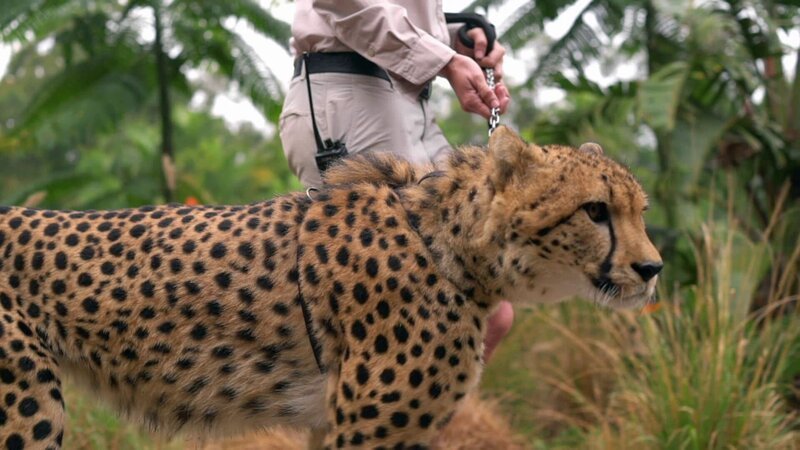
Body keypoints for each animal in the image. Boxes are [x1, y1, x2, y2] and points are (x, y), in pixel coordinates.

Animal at [0, 126, 662, 450]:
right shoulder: (367, 431)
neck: (452, 240)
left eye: (641, 210)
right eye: (596, 211)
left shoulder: (334, 424)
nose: (652, 268)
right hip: (26, 409)